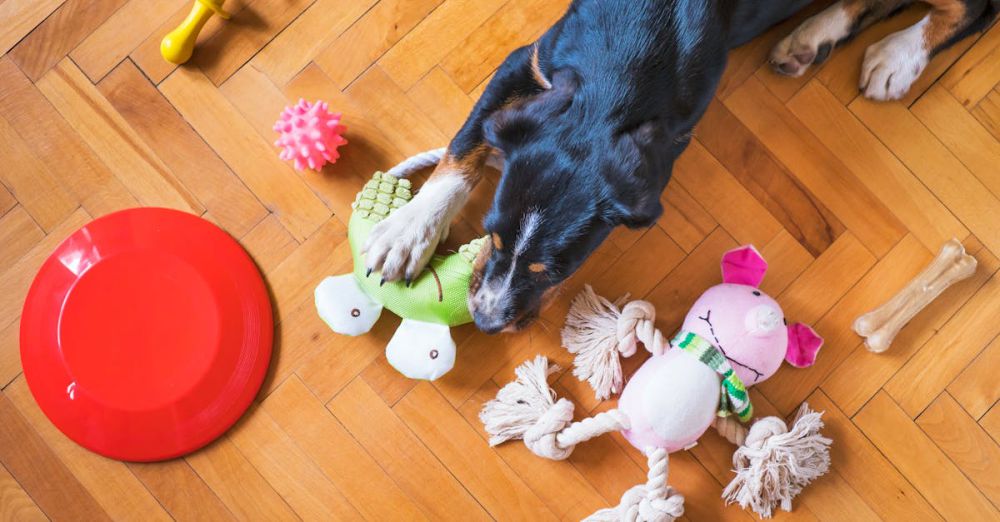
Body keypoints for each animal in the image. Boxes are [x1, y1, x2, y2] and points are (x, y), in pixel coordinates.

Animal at [364, 0, 996, 332]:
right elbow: (464, 143)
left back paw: (897, 56)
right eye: (491, 237)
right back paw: (815, 35)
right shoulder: (529, 62)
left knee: (972, 9)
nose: (488, 321)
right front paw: (406, 232)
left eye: (555, 269)